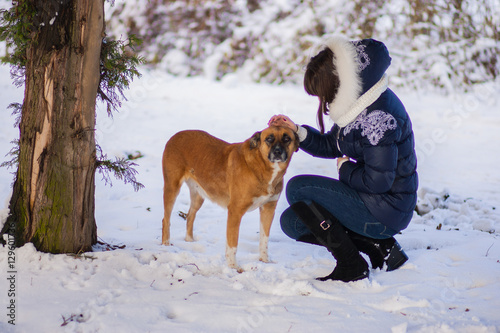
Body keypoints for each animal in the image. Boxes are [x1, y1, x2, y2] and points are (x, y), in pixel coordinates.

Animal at [162, 126, 298, 272]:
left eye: (287, 138)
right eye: (269, 139)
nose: (278, 152)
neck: (261, 167)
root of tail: (176, 134)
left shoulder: (268, 209)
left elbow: (264, 239)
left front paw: (265, 260)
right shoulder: (235, 211)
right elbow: (233, 243)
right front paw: (233, 266)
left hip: (199, 195)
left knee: (190, 216)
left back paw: (189, 241)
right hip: (172, 188)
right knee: (166, 219)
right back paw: (165, 245)